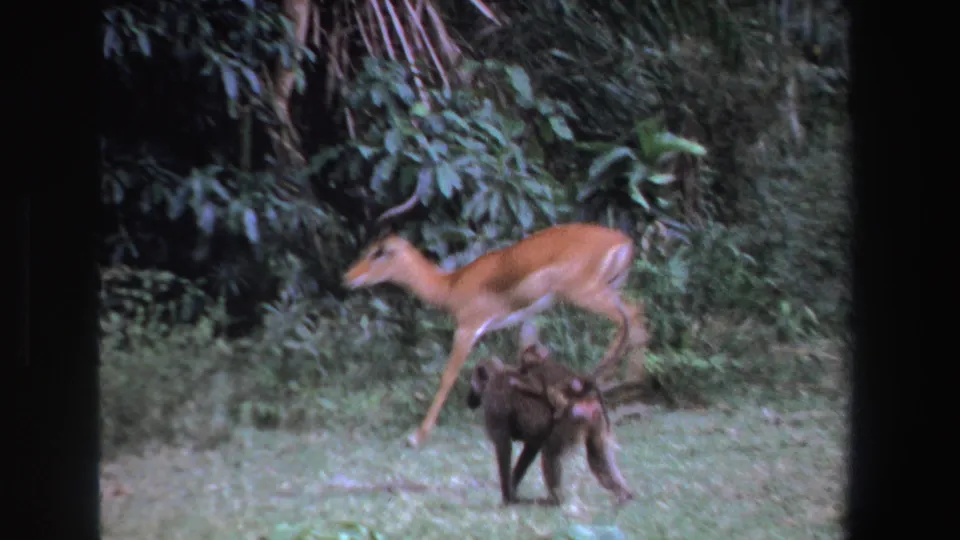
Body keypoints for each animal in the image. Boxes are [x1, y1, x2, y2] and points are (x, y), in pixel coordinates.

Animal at [342, 199, 649, 448]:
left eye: (378, 252)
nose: (348, 277)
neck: (451, 285)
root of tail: (623, 241)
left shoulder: (468, 329)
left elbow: (447, 377)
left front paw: (417, 437)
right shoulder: (527, 319)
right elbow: (524, 365)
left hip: (587, 295)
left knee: (631, 318)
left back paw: (610, 382)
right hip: (609, 290)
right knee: (637, 317)